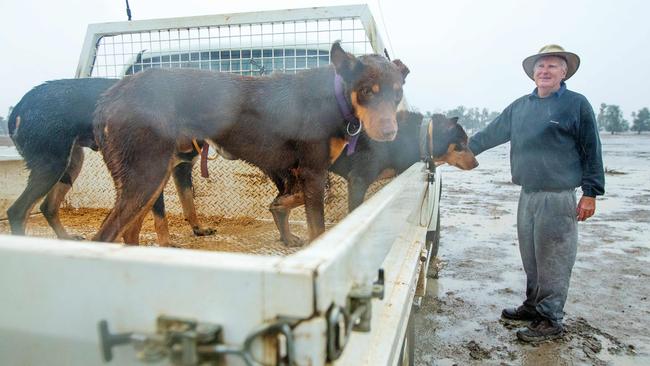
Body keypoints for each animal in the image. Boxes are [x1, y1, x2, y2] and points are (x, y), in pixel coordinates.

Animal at [6, 78, 214, 244]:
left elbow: (189, 203)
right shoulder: (154, 174)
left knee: (47, 206)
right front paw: (166, 244)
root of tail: (20, 105)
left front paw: (198, 229)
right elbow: (160, 217)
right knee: (17, 211)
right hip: (52, 165)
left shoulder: (181, 169)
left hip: (72, 163)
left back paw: (66, 238)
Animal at [92, 41, 404, 246]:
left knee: (129, 232)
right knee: (105, 236)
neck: (334, 96)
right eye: (367, 91)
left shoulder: (295, 171)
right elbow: (316, 226)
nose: (390, 133)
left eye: (398, 93)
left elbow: (289, 201)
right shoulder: (313, 172)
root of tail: (110, 96)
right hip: (146, 176)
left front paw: (285, 226)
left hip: (153, 176)